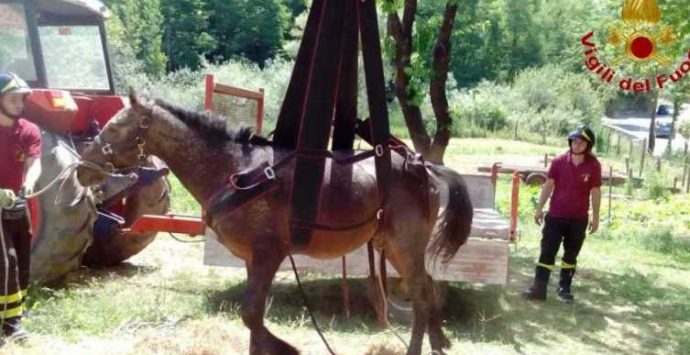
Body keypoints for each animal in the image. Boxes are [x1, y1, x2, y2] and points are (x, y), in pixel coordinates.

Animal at [75, 93, 472, 355]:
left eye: (116, 128)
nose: (82, 168)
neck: (236, 170)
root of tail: (423, 166)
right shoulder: (253, 260)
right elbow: (253, 316)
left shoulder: (269, 253)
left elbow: (251, 314)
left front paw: (286, 347)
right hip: (390, 247)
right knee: (426, 291)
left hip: (406, 245)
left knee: (420, 296)